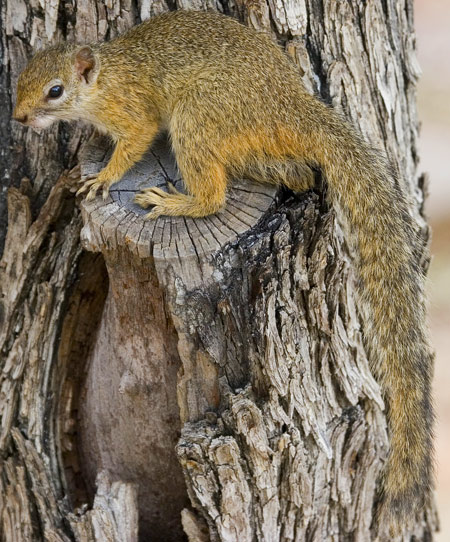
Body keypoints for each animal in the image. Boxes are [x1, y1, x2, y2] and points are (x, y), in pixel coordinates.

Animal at [14, 9, 432, 536]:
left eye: (55, 90)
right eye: (21, 80)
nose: (19, 118)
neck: (105, 79)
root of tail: (290, 107)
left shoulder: (133, 112)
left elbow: (133, 143)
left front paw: (103, 176)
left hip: (200, 118)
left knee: (214, 193)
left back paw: (176, 201)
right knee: (293, 173)